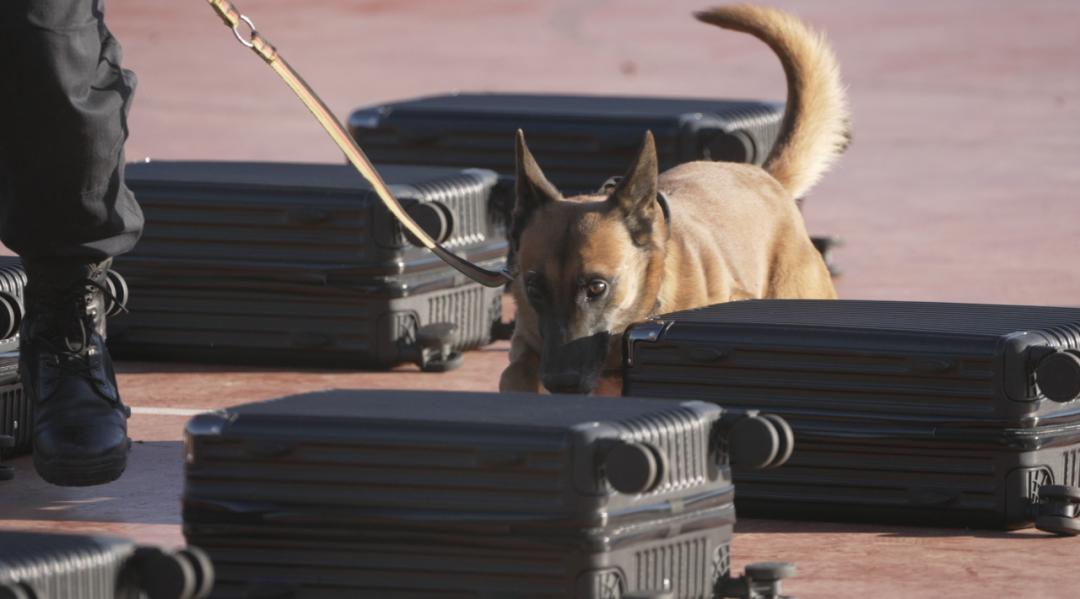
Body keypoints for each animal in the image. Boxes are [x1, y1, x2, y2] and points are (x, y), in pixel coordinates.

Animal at [498, 5, 851, 399]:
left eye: (597, 287)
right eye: (533, 288)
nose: (562, 383)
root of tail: (763, 176)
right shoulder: (529, 347)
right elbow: (515, 373)